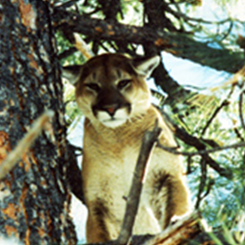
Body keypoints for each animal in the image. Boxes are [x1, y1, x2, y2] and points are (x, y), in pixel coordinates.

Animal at [62, 53, 190, 243]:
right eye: (93, 86)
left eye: (123, 82)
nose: (110, 108)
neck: (119, 139)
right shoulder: (97, 199)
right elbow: (98, 232)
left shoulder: (168, 175)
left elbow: (176, 204)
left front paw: (177, 222)